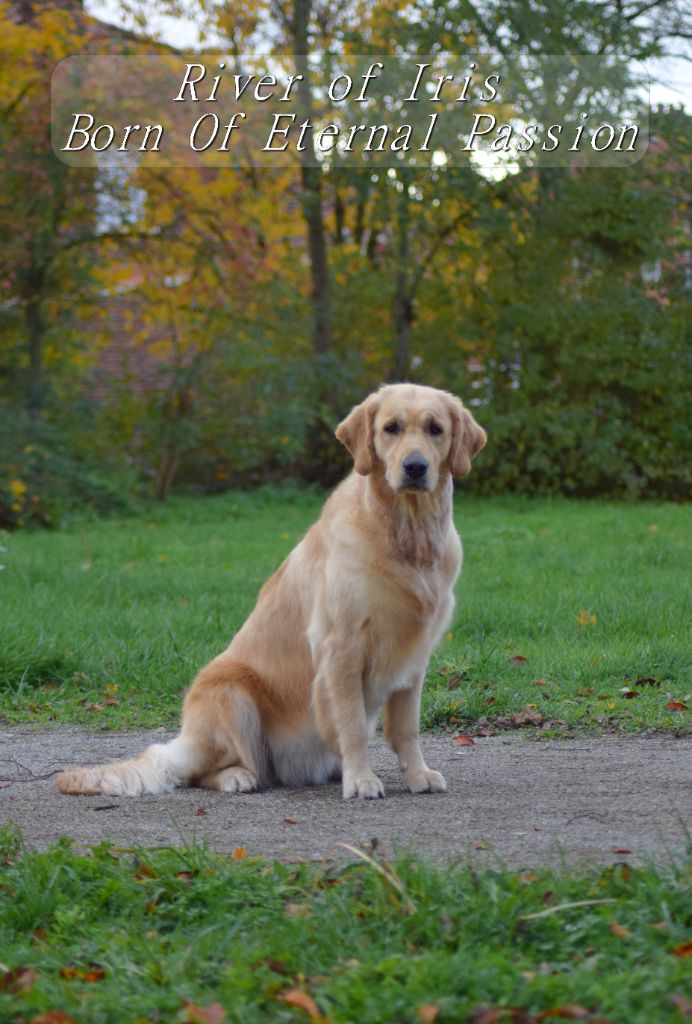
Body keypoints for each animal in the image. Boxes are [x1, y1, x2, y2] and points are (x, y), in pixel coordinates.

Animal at [57, 383, 486, 800]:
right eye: (391, 428)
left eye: (435, 429)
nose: (415, 467)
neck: (407, 537)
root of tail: (184, 744)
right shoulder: (341, 647)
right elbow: (352, 725)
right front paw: (362, 780)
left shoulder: (413, 656)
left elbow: (406, 729)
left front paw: (417, 775)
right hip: (229, 690)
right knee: (207, 772)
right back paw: (237, 777)